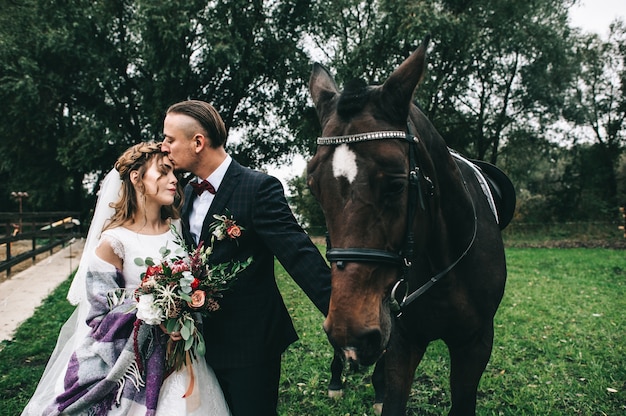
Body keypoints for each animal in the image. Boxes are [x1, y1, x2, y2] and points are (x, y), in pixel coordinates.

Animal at [306, 36, 512, 416]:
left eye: (397, 185)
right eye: (314, 187)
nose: (351, 333)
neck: (444, 265)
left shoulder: (475, 344)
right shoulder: (404, 340)